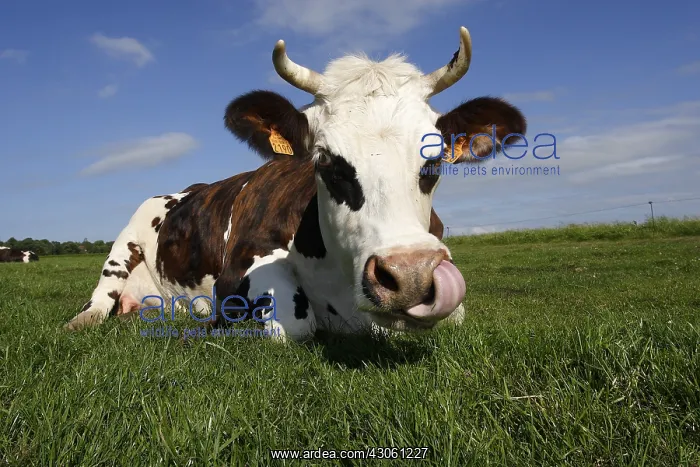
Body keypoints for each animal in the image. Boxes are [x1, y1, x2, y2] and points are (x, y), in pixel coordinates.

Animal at [65, 26, 526, 341]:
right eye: (326, 162)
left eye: (432, 162)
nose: (410, 276)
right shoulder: (237, 274)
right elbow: (294, 322)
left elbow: (455, 314)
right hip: (124, 241)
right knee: (101, 297)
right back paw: (82, 319)